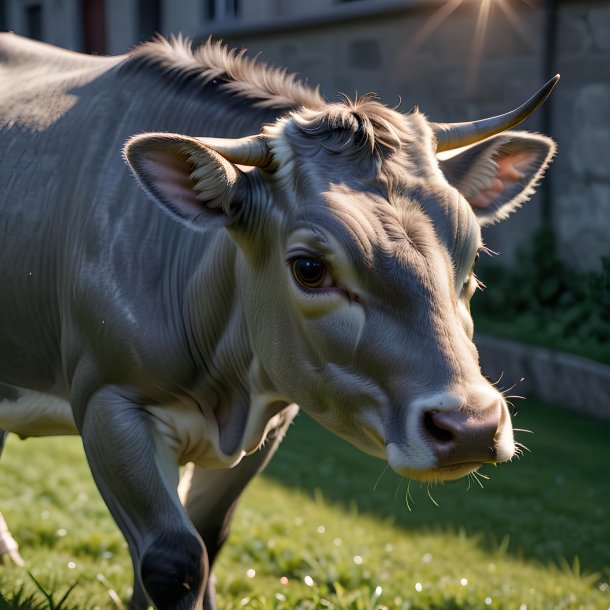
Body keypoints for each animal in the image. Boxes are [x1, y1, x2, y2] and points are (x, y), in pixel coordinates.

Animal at [2, 33, 556, 608]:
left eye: (472, 256)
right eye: (309, 268)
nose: (472, 427)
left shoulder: (270, 422)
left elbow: (207, 538)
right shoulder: (109, 403)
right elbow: (173, 558)